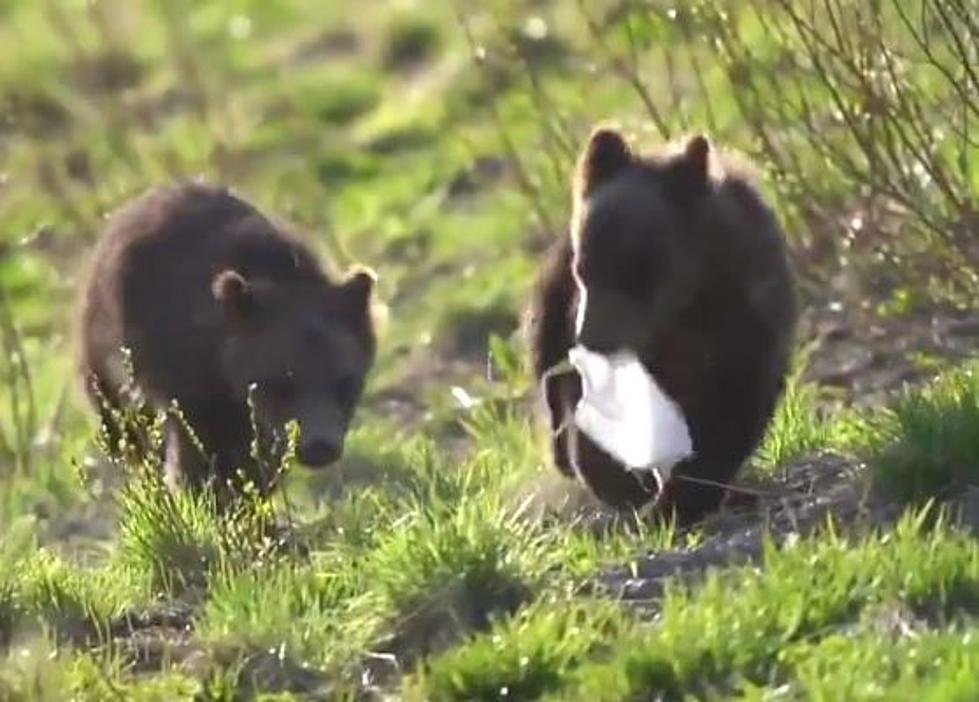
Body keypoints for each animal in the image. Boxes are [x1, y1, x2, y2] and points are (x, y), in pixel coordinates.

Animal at [74, 180, 376, 500]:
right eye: (282, 382)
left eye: (345, 381)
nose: (320, 446)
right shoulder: (183, 381)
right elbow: (195, 450)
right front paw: (199, 496)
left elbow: (256, 461)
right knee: (124, 430)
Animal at [528, 126, 796, 524]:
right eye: (582, 268)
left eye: (641, 272)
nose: (594, 339)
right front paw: (621, 480)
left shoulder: (742, 334)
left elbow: (729, 418)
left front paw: (680, 500)